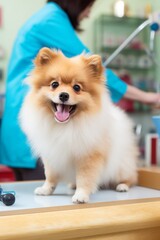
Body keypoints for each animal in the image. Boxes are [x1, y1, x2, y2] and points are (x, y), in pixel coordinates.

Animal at [19, 47, 138, 203]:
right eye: (54, 84)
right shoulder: (52, 153)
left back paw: (122, 186)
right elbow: (50, 175)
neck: (65, 126)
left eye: (76, 87)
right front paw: (46, 189)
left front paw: (81, 195)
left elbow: (84, 178)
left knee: (131, 178)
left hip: (121, 166)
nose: (64, 95)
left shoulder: (87, 156)